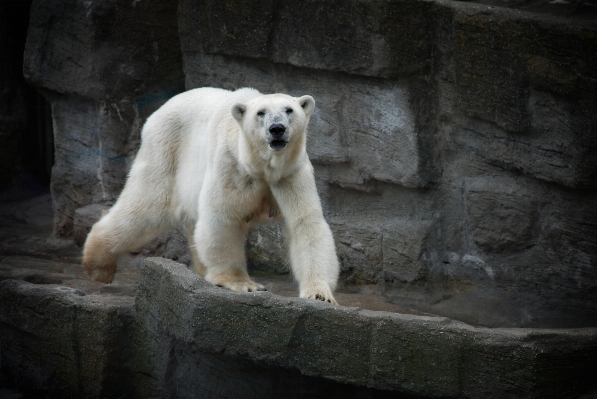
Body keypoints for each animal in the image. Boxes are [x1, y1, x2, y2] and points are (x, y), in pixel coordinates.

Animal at [81, 87, 338, 304]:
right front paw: (244, 284)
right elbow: (222, 218)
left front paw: (319, 294)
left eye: (289, 110)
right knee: (145, 207)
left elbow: (306, 224)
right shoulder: (231, 165)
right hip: (165, 153)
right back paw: (99, 266)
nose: (277, 129)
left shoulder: (291, 173)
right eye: (261, 113)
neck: (260, 166)